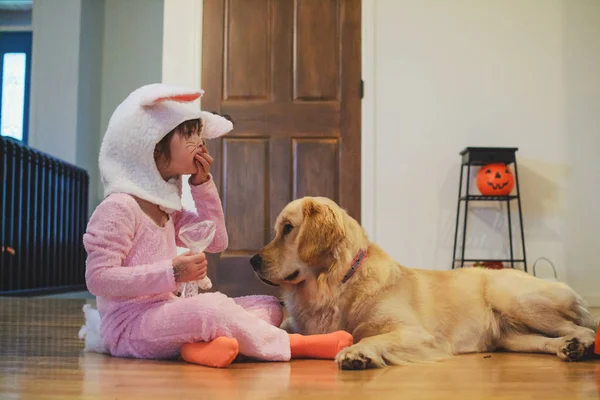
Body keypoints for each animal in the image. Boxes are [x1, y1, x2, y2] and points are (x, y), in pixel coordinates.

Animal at [248, 196, 596, 368]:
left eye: (288, 229)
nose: (252, 260)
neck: (340, 282)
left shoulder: (415, 333)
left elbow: (370, 338)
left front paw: (356, 353)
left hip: (510, 297)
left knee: (585, 329)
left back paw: (582, 344)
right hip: (510, 336)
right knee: (549, 339)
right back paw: (568, 348)